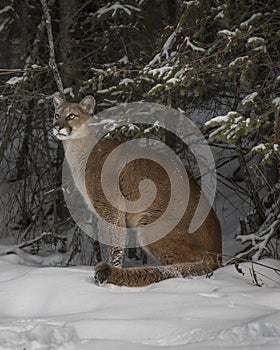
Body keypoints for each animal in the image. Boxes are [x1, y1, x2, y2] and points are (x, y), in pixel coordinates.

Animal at [53, 94, 221, 286]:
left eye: (71, 116)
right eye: (56, 115)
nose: (57, 126)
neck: (79, 152)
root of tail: (218, 251)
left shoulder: (111, 209)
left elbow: (116, 246)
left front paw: (115, 269)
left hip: (151, 227)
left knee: (183, 268)